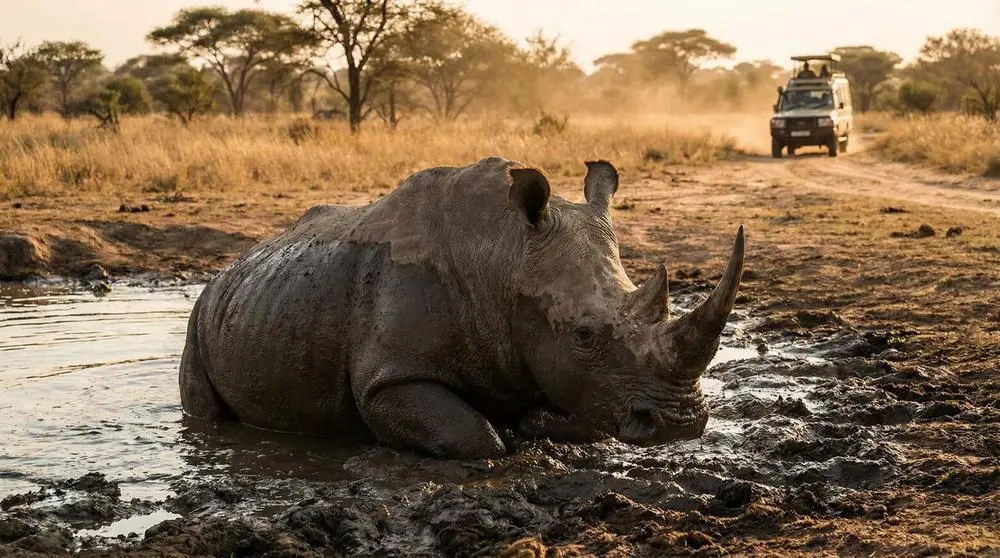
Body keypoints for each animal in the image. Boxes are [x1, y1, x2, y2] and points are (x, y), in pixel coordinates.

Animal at [179, 157, 745, 459]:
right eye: (584, 334)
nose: (681, 423)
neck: (504, 255)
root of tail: (232, 266)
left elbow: (577, 417)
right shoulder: (391, 376)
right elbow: (478, 439)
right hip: (200, 316)